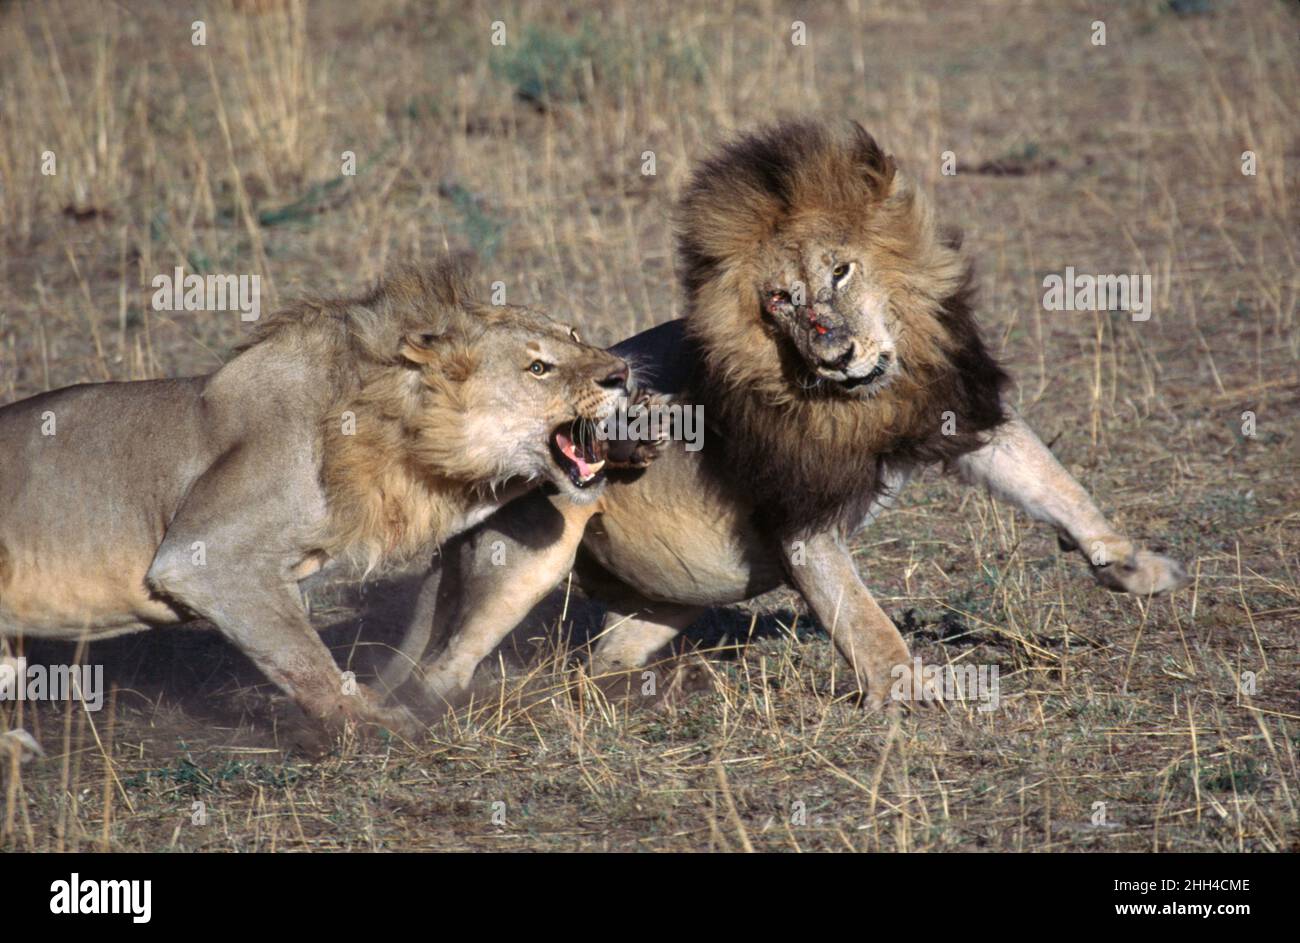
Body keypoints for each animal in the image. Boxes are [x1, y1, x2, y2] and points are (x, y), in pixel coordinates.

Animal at [0, 253, 634, 733]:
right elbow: (304, 657)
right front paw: (373, 725)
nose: (623, 372)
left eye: (576, 335)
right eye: (538, 368)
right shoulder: (202, 556)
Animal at [384, 122, 1190, 707]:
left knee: (598, 658)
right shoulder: (801, 520)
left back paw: (652, 685)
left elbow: (1055, 483)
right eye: (780, 300)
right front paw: (916, 686)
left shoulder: (953, 413)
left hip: (672, 596)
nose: (834, 351)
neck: (865, 401)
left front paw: (1134, 564)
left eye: (841, 270)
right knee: (438, 677)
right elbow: (864, 621)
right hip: (537, 544)